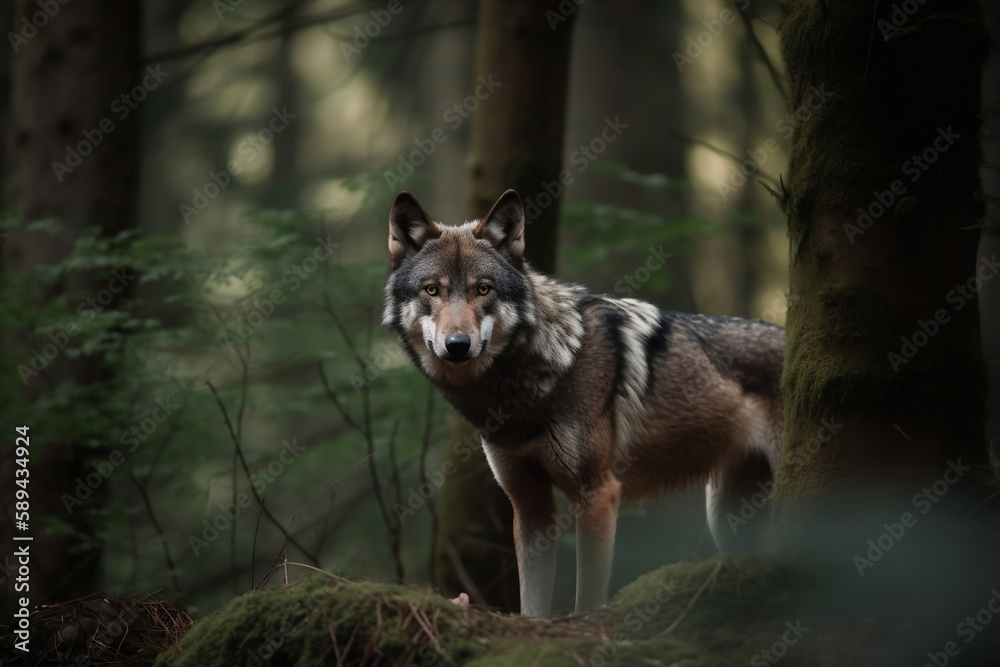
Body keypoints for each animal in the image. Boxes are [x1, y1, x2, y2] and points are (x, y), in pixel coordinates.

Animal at [382, 189, 784, 617]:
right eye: (432, 290)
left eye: (483, 290)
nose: (457, 345)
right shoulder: (529, 504)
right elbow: (531, 606)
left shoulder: (597, 493)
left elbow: (588, 598)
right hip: (726, 517)